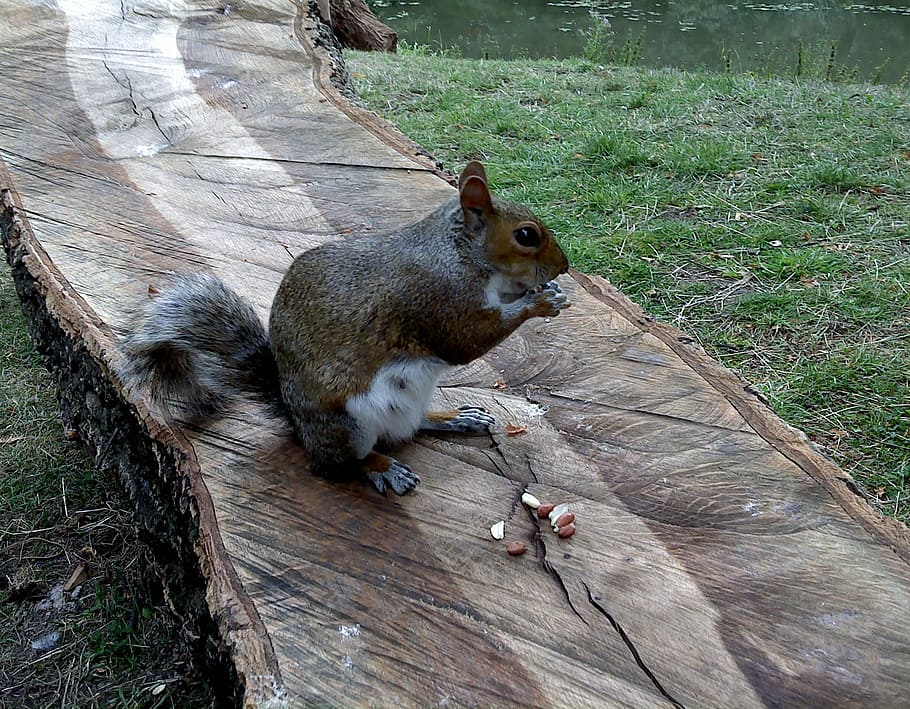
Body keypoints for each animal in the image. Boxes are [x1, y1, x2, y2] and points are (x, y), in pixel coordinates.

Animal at [122, 161, 570, 495]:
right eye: (526, 236)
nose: (564, 266)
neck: (461, 254)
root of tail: (299, 424)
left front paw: (550, 293)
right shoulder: (434, 300)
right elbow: (465, 342)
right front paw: (539, 303)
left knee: (407, 428)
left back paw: (452, 417)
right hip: (345, 424)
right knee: (338, 463)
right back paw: (380, 466)